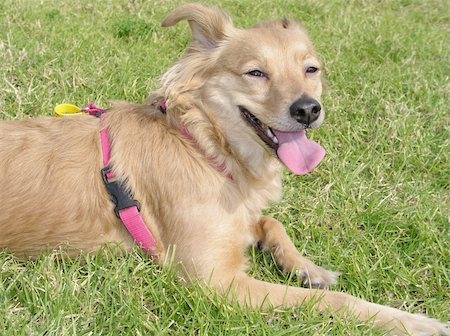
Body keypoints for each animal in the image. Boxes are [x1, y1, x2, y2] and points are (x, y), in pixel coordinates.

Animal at [0, 3, 448, 336]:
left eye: (311, 69)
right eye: (256, 72)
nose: (308, 109)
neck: (204, 147)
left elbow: (271, 223)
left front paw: (308, 268)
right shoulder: (216, 282)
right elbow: (329, 300)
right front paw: (408, 321)